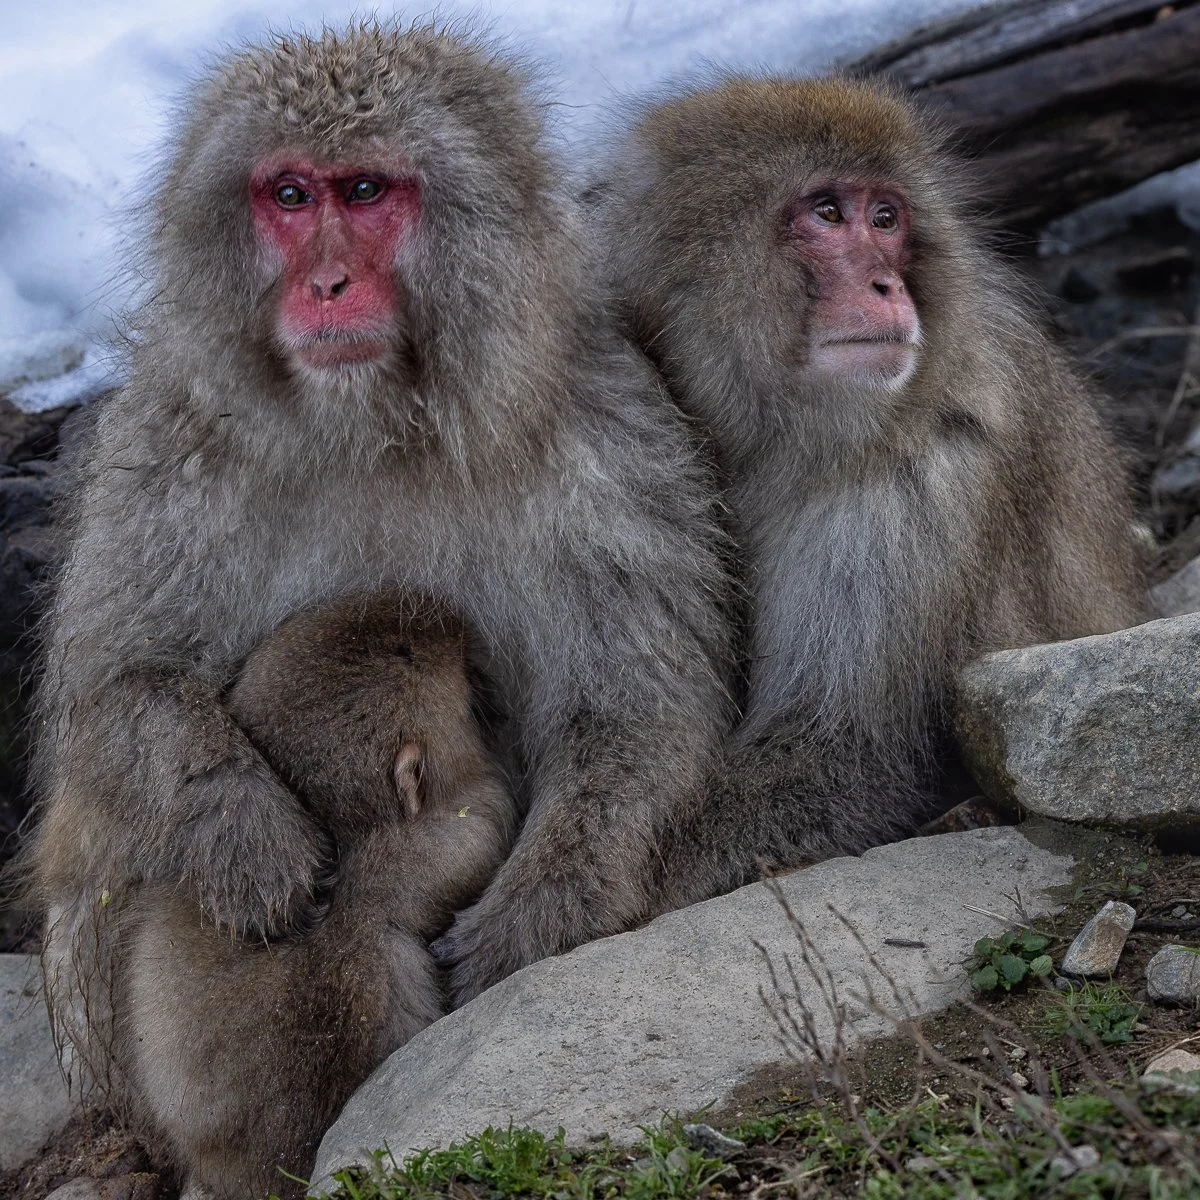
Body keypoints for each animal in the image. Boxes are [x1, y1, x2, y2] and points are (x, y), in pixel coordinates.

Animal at [24, 20, 736, 1084]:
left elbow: (635, 711)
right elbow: (117, 684)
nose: (326, 285)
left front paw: (536, 912)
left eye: (364, 191)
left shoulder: (610, 437)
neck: (373, 428)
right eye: (289, 195)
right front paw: (241, 828)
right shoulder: (172, 447)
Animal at [590, 76, 1148, 910]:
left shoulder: (921, 476)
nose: (887, 284)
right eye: (828, 213)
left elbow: (848, 747)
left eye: (886, 219)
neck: (774, 437)